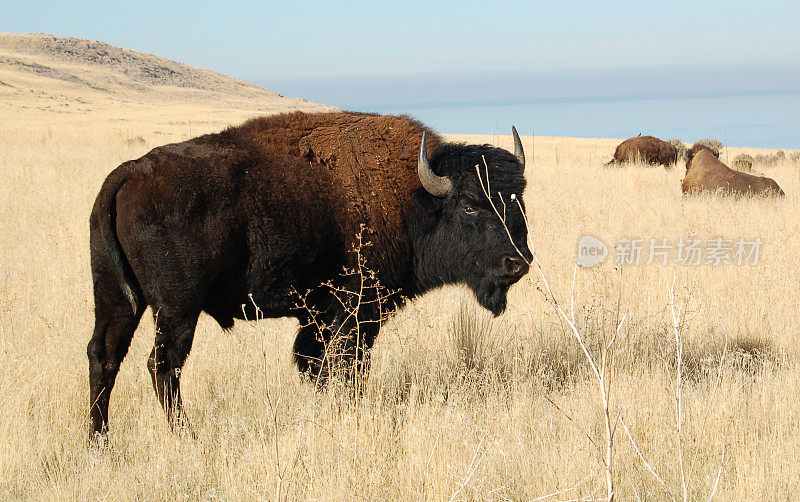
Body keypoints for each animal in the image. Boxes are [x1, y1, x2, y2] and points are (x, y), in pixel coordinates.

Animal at [89, 111, 532, 436]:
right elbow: (346, 366)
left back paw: (99, 440)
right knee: (163, 364)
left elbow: (313, 364)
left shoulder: (317, 316)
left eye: (517, 200)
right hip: (177, 308)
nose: (518, 264)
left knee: (104, 355)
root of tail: (128, 174)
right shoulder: (357, 311)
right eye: (470, 205)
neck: (412, 198)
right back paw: (186, 435)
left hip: (117, 300)